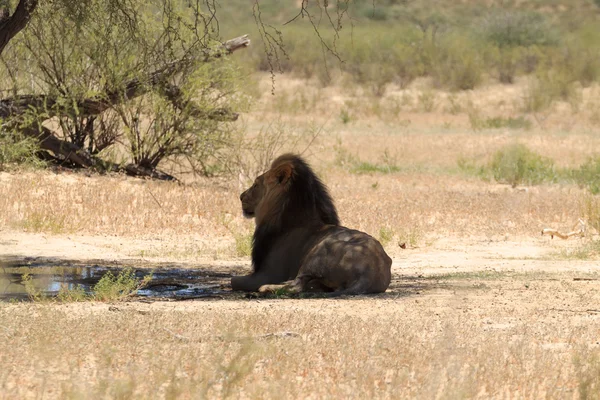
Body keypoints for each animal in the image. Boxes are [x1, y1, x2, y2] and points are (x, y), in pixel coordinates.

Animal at [231, 152, 394, 294]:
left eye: (255, 185)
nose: (241, 196)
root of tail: (369, 274)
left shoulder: (269, 272)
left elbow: (234, 280)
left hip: (320, 249)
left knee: (296, 285)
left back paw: (267, 288)